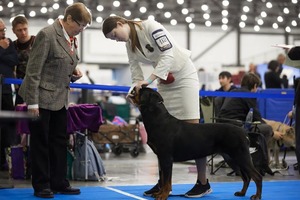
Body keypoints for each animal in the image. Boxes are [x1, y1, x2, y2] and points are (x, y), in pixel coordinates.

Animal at [129, 87, 262, 200]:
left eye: (141, 90)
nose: (134, 88)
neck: (158, 120)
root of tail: (244, 131)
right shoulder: (161, 157)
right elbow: (163, 179)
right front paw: (160, 193)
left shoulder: (166, 158)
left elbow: (166, 180)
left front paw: (163, 195)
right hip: (231, 158)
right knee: (246, 177)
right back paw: (242, 193)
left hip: (241, 156)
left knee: (257, 176)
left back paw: (256, 196)